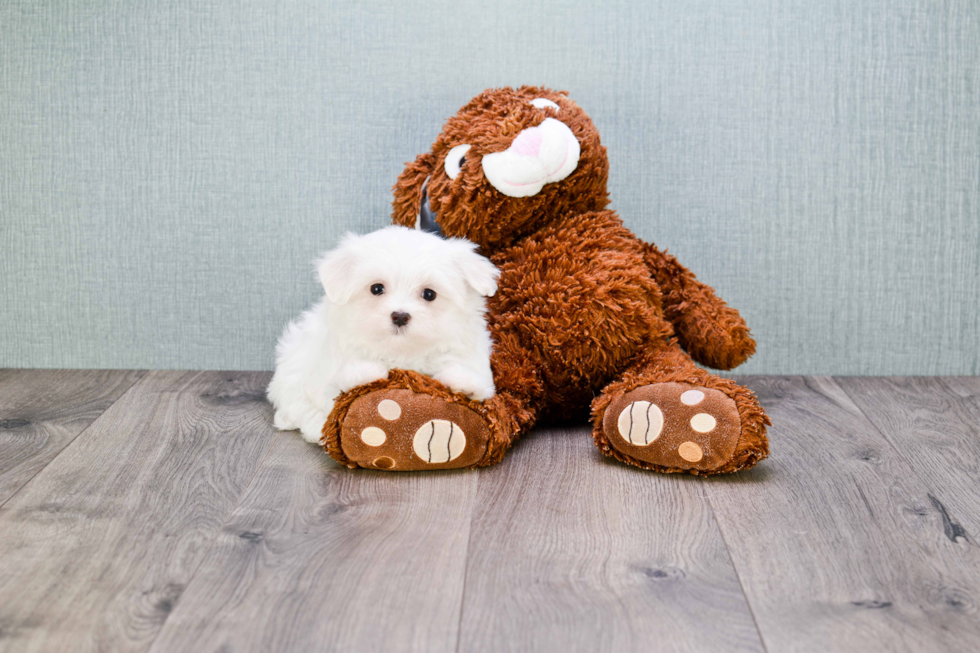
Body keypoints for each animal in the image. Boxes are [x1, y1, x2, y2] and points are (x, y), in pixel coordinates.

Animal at [266, 225, 498, 444]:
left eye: (429, 294)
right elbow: (335, 389)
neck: (402, 352)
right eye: (376, 288)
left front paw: (464, 383)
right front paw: (364, 372)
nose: (400, 316)